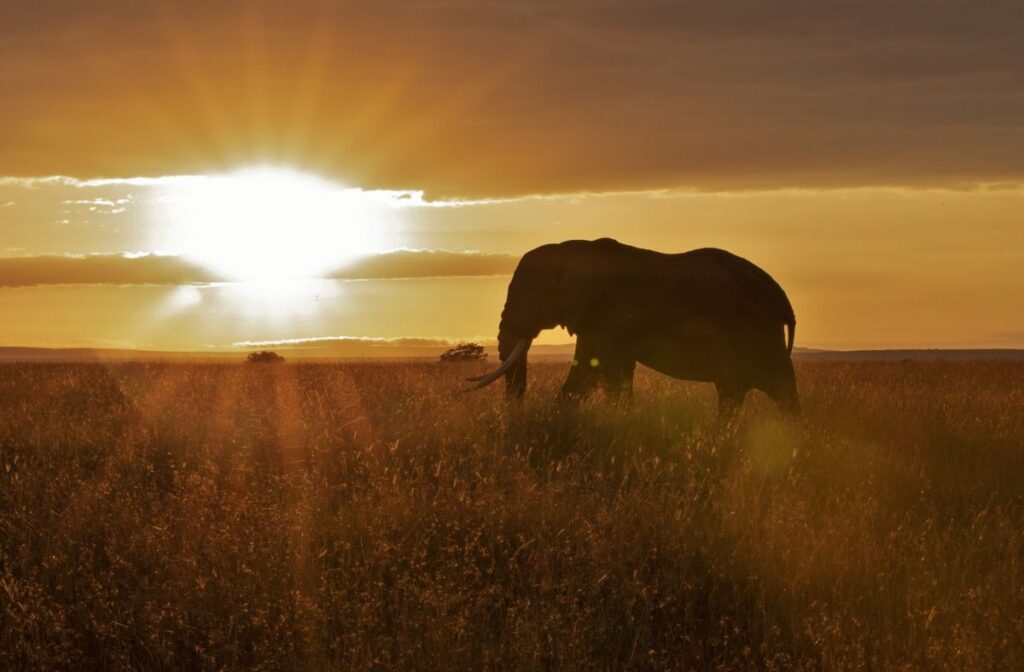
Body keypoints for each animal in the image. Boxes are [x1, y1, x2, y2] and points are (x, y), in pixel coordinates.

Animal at [466, 238, 798, 417]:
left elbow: (602, 369)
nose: (512, 413)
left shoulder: (608, 313)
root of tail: (783, 299)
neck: (573, 247)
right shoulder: (594, 318)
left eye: (529, 295)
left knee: (780, 389)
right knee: (734, 391)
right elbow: (591, 372)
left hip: (758, 332)